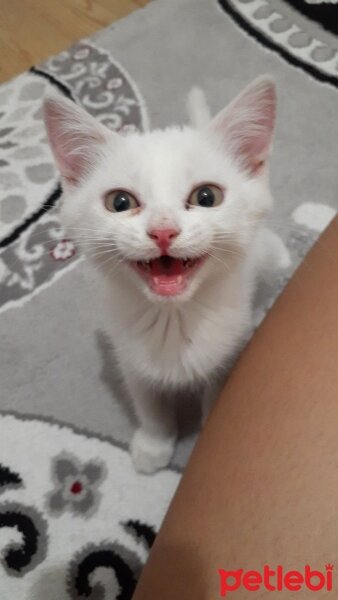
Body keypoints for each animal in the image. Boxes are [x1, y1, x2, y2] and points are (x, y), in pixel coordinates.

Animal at [43, 77, 290, 474]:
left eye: (207, 196)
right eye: (120, 202)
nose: (162, 231)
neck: (175, 318)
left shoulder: (228, 353)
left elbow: (218, 393)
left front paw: (210, 429)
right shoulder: (130, 357)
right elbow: (148, 401)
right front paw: (154, 443)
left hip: (266, 253)